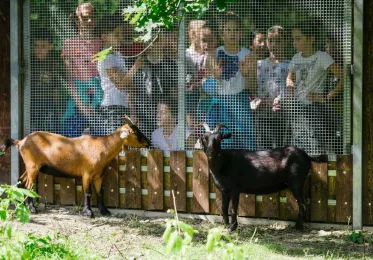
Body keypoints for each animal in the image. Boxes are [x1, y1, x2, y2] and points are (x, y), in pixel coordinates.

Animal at [1, 117, 150, 216]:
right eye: (134, 132)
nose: (148, 142)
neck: (102, 146)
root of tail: (21, 142)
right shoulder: (87, 174)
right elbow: (88, 192)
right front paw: (88, 212)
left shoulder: (99, 175)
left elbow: (100, 192)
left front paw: (104, 211)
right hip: (32, 165)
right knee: (29, 185)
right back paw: (32, 209)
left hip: (31, 166)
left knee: (22, 181)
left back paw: (22, 205)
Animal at [198, 123, 326, 231]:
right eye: (204, 138)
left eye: (219, 138)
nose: (210, 152)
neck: (224, 162)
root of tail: (307, 156)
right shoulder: (224, 190)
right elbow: (224, 208)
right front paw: (226, 226)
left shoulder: (235, 189)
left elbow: (233, 208)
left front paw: (232, 228)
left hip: (297, 182)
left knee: (302, 203)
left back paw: (298, 226)